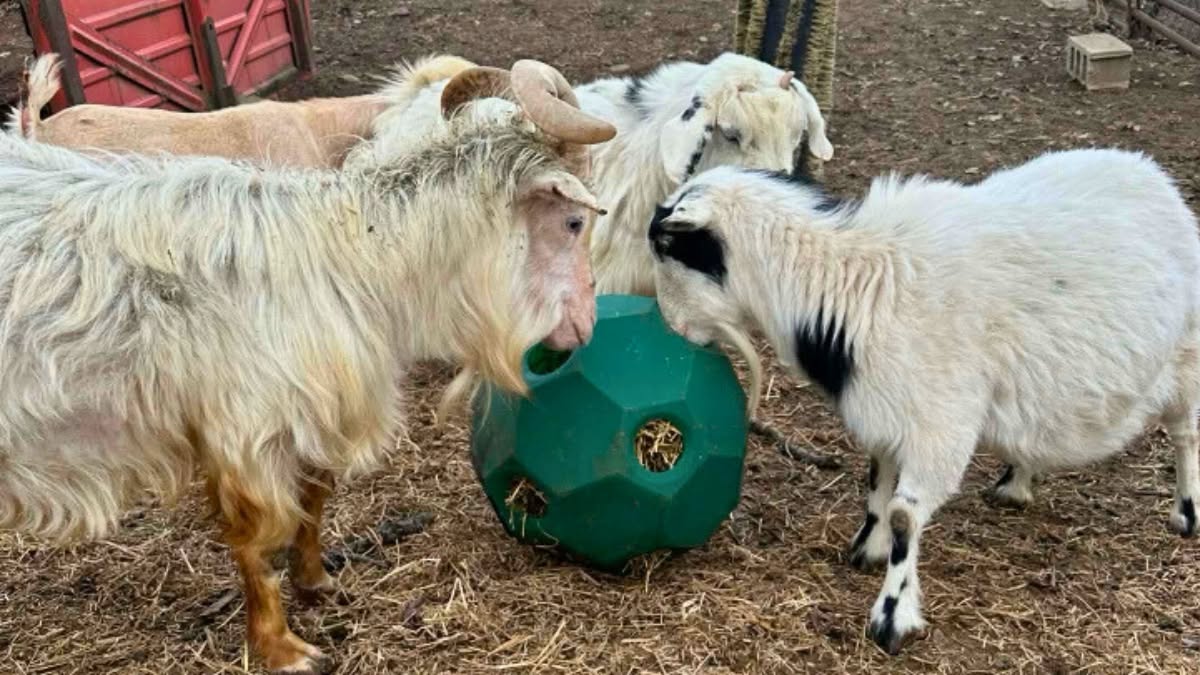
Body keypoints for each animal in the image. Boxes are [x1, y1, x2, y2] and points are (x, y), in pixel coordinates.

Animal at [646, 148, 1200, 655]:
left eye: (669, 249)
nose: (671, 331)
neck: (847, 282)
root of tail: (1150, 172)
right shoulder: (888, 411)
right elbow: (876, 486)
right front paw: (865, 550)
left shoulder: (941, 422)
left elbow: (903, 517)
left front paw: (891, 618)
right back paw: (1017, 482)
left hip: (1186, 357)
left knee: (1186, 435)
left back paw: (1186, 515)